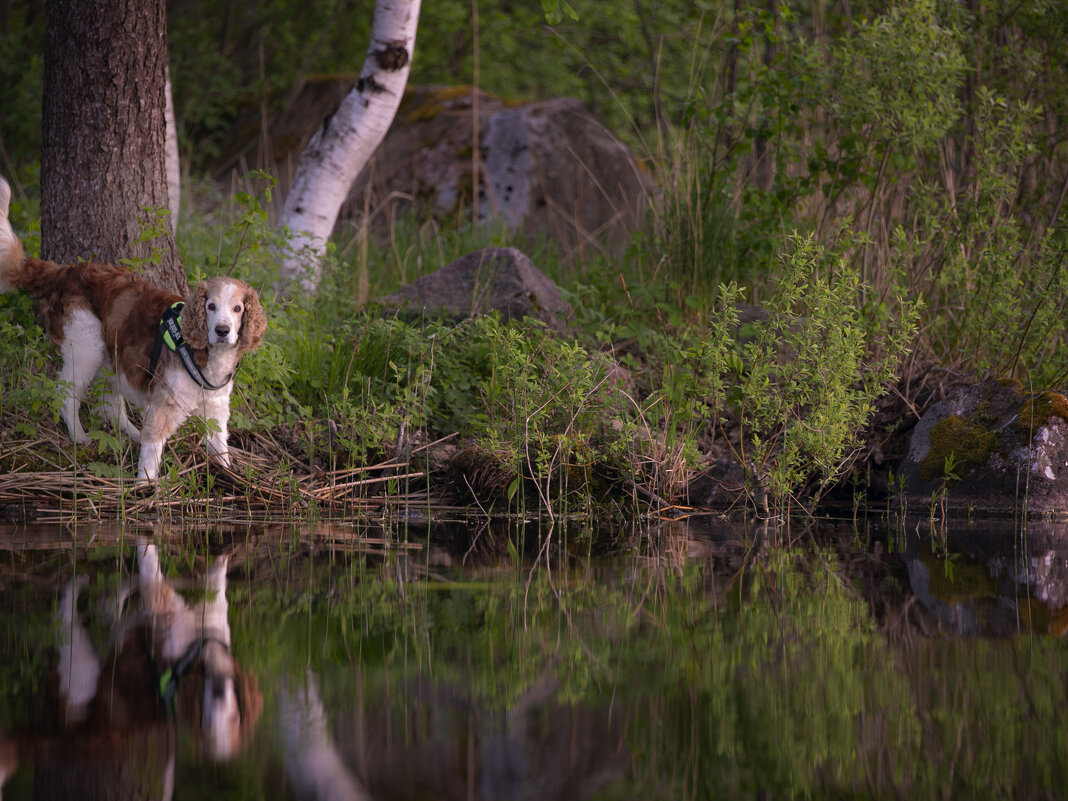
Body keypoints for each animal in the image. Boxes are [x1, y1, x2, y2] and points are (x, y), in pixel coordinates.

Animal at [0, 175, 265, 482]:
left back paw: (131, 433)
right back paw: (80, 437)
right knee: (67, 395)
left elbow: (220, 449)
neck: (205, 358)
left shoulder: (216, 410)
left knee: (108, 404)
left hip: (110, 355)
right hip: (86, 347)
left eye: (238, 309)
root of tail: (66, 271)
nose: (222, 330)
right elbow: (152, 450)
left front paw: (232, 477)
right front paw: (145, 486)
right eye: (210, 306)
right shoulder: (165, 405)